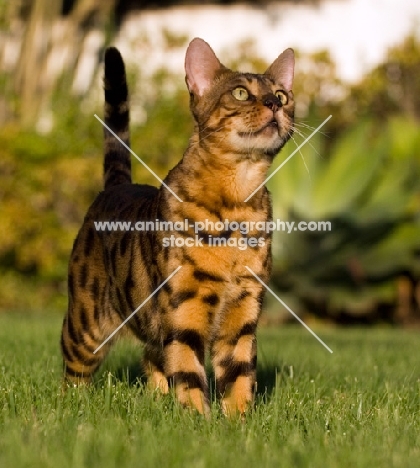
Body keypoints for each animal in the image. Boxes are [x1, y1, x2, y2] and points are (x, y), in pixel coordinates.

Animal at [60, 38, 296, 414]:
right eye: (241, 93)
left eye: (282, 95)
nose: (275, 103)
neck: (237, 200)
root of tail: (116, 186)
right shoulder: (185, 304)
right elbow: (187, 370)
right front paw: (197, 418)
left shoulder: (244, 307)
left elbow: (239, 373)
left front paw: (239, 420)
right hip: (87, 323)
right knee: (74, 370)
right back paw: (73, 407)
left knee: (151, 356)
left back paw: (157, 400)